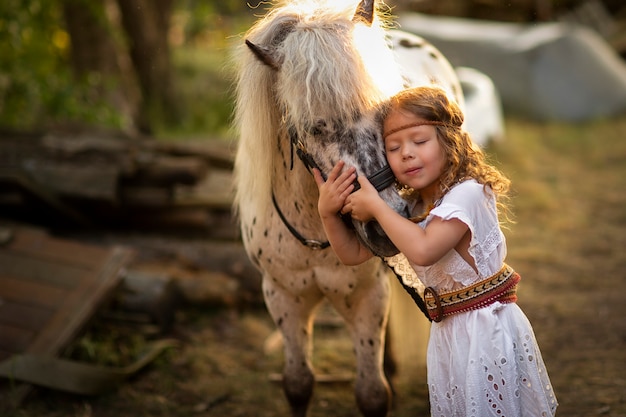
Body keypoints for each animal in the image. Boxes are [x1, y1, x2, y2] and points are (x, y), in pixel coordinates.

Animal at [232, 0, 460, 416]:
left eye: (385, 112)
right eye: (313, 127)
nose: (385, 229)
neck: (314, 233)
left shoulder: (368, 299)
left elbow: (372, 394)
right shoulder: (282, 296)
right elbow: (298, 384)